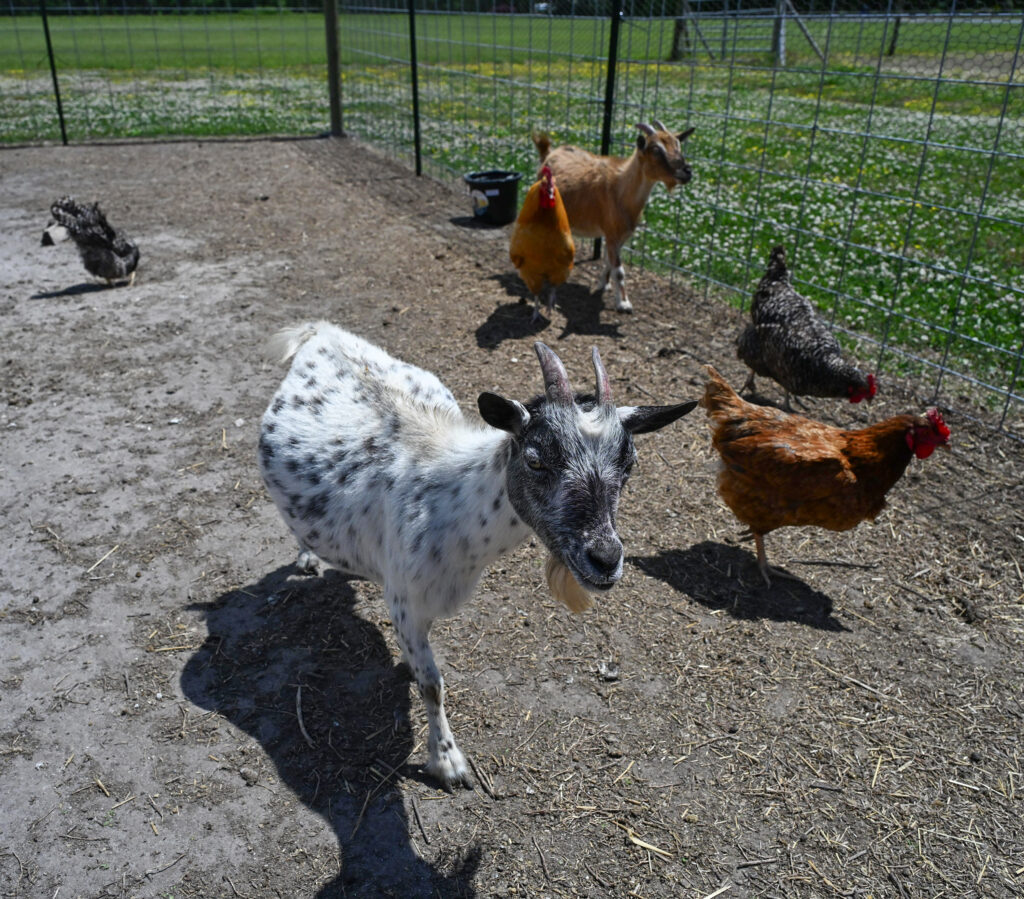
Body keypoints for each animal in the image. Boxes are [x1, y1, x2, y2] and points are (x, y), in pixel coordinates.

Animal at [258, 322, 696, 789]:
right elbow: (432, 685)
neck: (452, 504)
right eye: (535, 460)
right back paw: (307, 555)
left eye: (629, 463)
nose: (606, 558)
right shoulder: (405, 603)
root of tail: (324, 332)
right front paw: (448, 763)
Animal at [533, 121, 694, 313]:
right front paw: (624, 303)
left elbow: (609, 261)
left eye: (678, 145)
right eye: (656, 149)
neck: (620, 189)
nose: (687, 171)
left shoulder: (621, 235)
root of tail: (549, 153)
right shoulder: (612, 233)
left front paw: (604, 284)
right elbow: (619, 270)